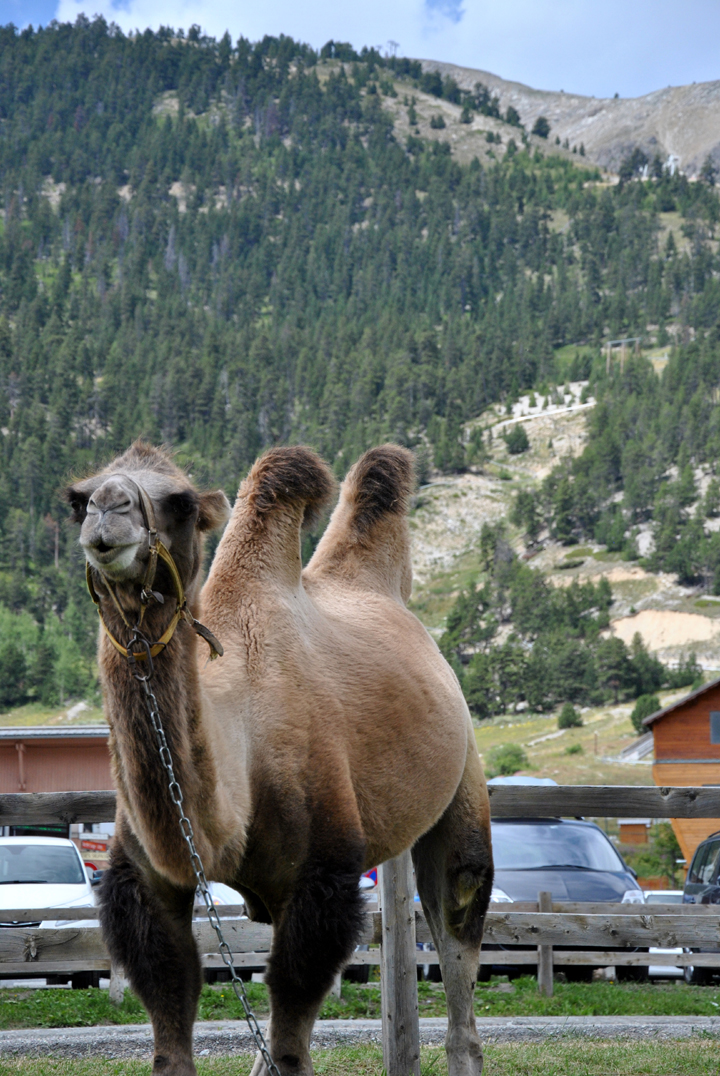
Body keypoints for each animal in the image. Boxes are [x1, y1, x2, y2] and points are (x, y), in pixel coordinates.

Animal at [65, 440, 493, 1076]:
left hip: (464, 774)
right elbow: (173, 1014)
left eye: (181, 502)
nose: (107, 511)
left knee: (461, 922)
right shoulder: (141, 882)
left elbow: (291, 1032)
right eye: (79, 498)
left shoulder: (322, 876)